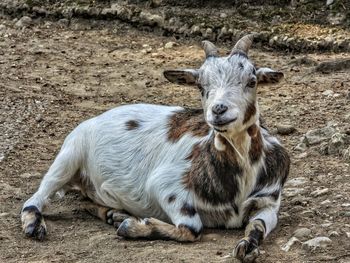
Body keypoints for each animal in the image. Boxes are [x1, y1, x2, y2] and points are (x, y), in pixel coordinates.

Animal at [21, 34, 290, 262]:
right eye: (200, 86)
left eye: (252, 81)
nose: (219, 110)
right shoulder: (166, 185)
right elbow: (192, 228)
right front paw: (134, 227)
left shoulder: (268, 202)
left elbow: (258, 226)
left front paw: (248, 246)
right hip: (70, 154)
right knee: (37, 196)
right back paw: (35, 224)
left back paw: (113, 214)